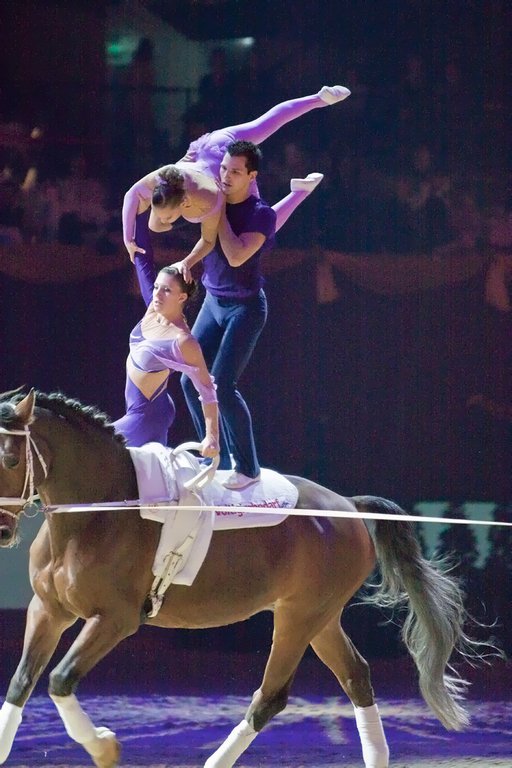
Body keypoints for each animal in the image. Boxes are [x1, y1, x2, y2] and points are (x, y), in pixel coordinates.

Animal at [0, 387, 474, 768]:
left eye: (10, 458)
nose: (2, 531)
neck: (96, 513)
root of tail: (348, 507)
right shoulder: (48, 610)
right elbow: (21, 682)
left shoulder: (115, 619)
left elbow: (60, 680)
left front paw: (104, 748)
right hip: (321, 618)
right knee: (356, 676)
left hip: (299, 617)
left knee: (271, 696)